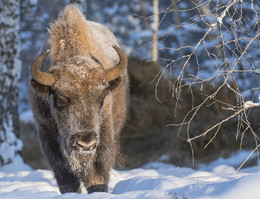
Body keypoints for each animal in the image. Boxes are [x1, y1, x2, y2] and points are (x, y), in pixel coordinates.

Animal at [29, 5, 128, 194]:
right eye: (61, 100)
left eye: (102, 97)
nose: (85, 143)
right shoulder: (47, 133)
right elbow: (65, 177)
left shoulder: (104, 134)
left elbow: (98, 175)